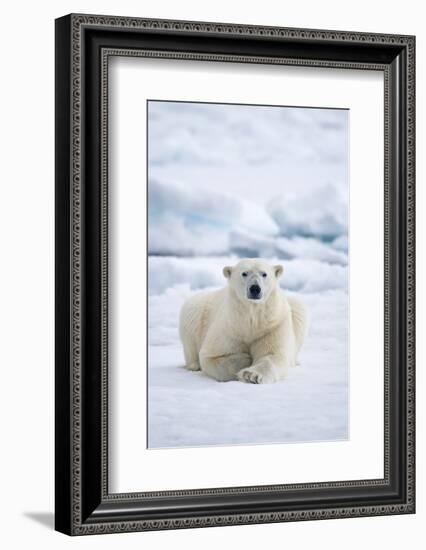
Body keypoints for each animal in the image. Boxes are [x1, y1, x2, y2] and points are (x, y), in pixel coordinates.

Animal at [180, 260, 310, 386]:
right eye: (244, 273)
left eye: (264, 274)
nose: (255, 288)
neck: (250, 319)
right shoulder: (229, 326)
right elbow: (212, 356)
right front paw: (245, 359)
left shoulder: (272, 326)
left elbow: (273, 355)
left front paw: (251, 375)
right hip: (197, 307)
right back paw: (194, 365)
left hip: (294, 309)